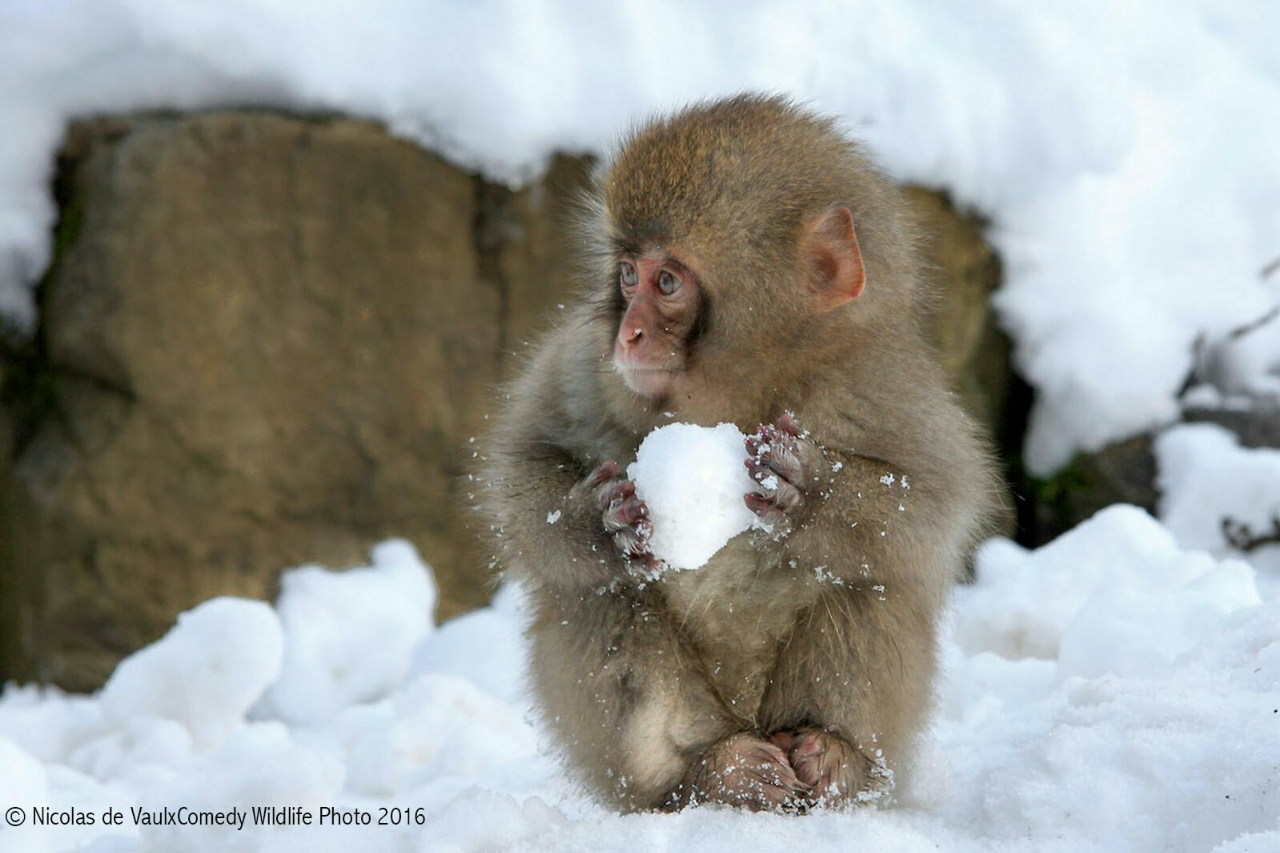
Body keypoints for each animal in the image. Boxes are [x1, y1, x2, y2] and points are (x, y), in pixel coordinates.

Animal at [481, 94, 998, 809]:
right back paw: (708, 771)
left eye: (668, 282)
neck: (737, 394)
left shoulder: (880, 383)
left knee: (866, 575)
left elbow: (935, 498)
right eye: (626, 275)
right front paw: (599, 523)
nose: (628, 334)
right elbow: (523, 470)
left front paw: (810, 496)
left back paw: (834, 755)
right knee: (602, 594)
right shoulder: (582, 363)